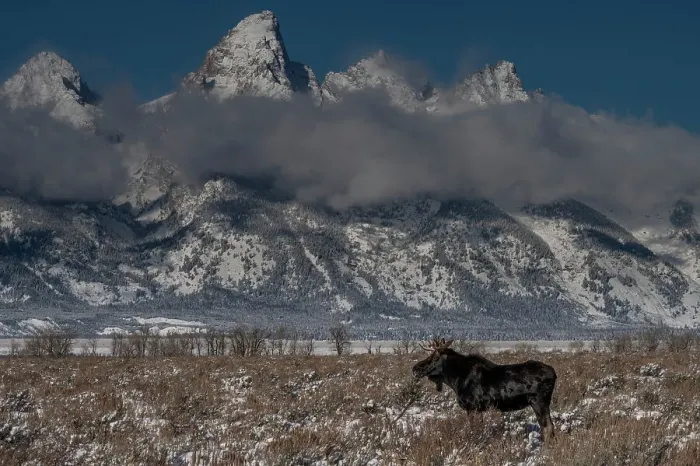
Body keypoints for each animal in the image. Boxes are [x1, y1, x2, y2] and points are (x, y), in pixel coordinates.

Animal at [412, 338, 557, 440]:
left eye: (435, 357)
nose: (415, 369)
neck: (455, 380)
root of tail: (554, 373)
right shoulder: (478, 409)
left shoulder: (472, 407)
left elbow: (474, 430)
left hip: (539, 401)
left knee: (548, 427)